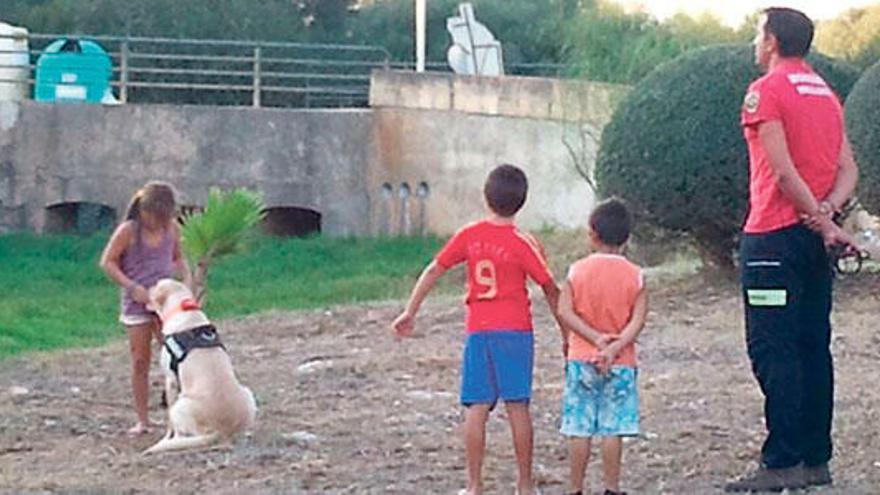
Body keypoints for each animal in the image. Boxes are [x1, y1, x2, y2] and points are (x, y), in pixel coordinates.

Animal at [144, 280, 254, 454]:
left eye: (155, 285)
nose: (146, 288)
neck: (183, 309)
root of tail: (222, 430)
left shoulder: (170, 379)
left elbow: (169, 422)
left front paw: (167, 436)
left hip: (180, 406)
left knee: (188, 434)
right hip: (248, 394)